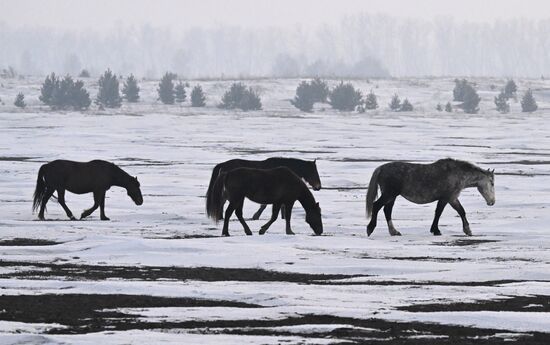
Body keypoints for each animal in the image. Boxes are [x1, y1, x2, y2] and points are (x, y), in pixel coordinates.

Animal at [368, 159, 498, 236]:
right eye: (492, 183)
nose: (492, 202)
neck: (457, 174)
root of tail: (381, 168)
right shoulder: (447, 198)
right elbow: (442, 212)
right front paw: (437, 230)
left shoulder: (452, 198)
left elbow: (460, 211)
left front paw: (467, 230)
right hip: (389, 194)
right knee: (376, 206)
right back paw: (370, 229)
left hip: (392, 196)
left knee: (387, 211)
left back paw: (394, 231)